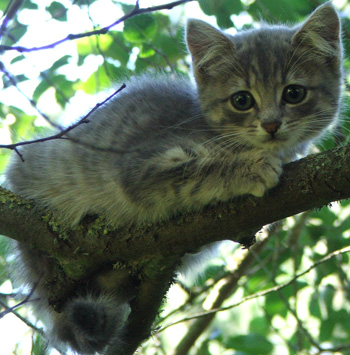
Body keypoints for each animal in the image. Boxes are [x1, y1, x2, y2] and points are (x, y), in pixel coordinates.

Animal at [3, 3, 342, 355]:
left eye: (294, 93)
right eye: (242, 100)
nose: (271, 124)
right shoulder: (139, 167)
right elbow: (197, 171)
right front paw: (250, 167)